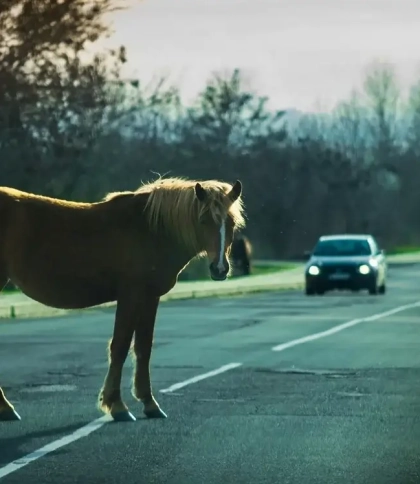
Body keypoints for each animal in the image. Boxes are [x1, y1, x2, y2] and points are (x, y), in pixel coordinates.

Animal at [0, 176, 246, 422]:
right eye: (203, 220)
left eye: (232, 223)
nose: (219, 269)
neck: (151, 230)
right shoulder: (131, 295)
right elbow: (120, 346)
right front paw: (117, 405)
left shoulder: (149, 297)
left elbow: (143, 347)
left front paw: (149, 403)